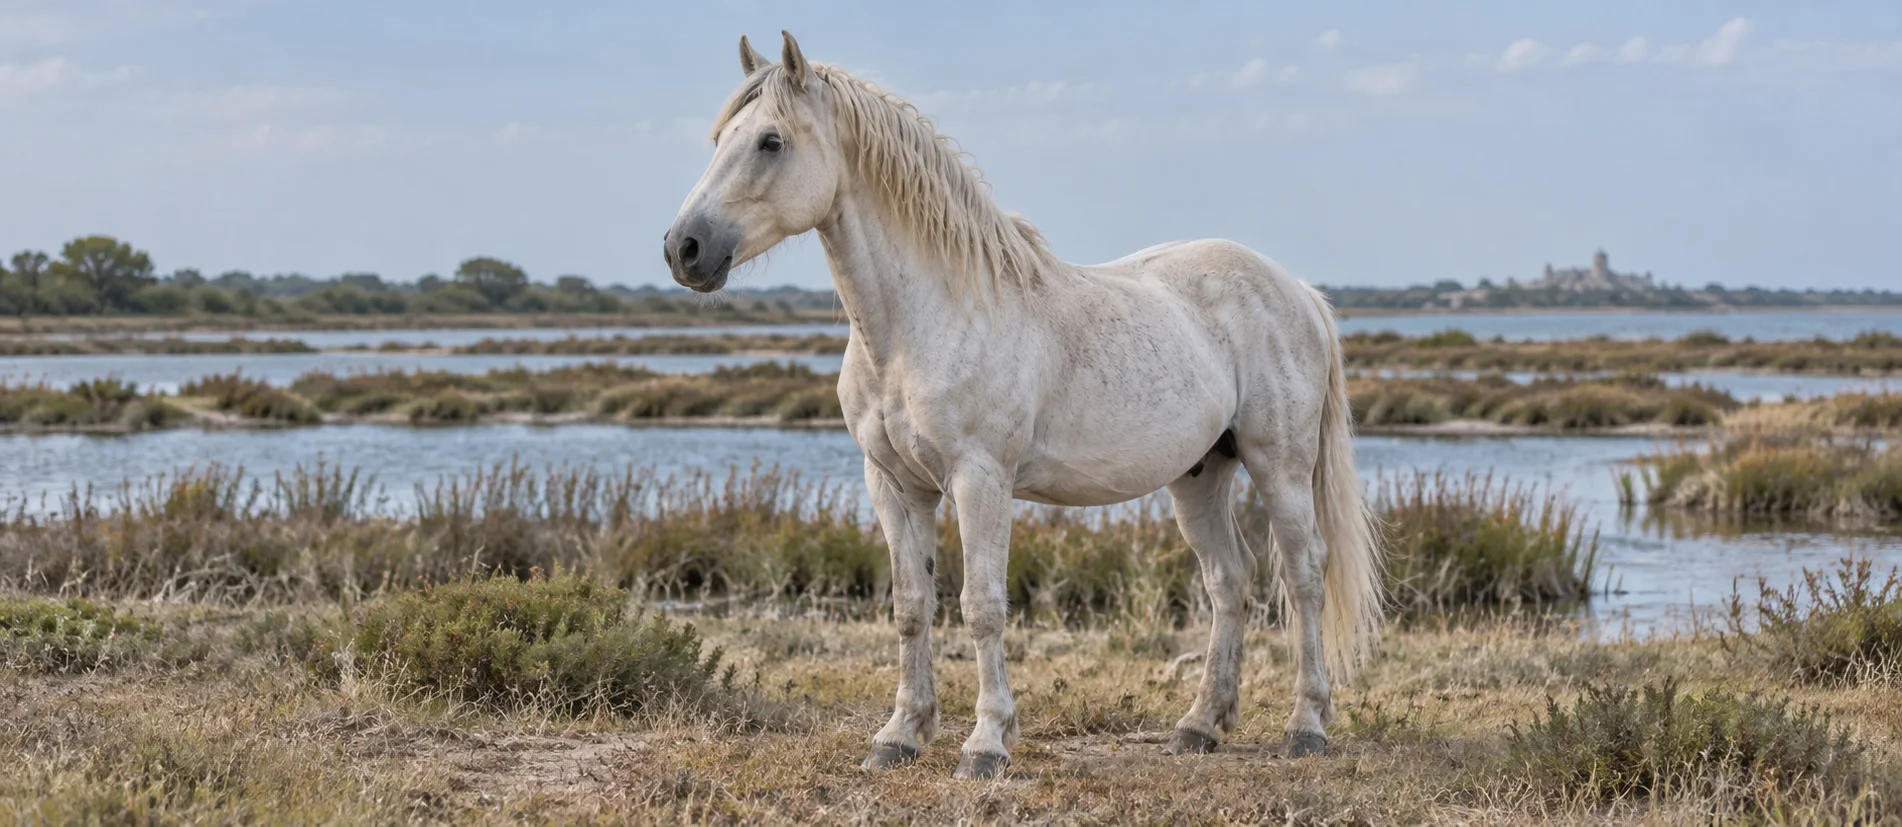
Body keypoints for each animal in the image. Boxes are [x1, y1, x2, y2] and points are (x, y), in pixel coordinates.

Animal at [664, 31, 1383, 780]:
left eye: (770, 141)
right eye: (720, 138)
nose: (683, 249)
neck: (921, 323)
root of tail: (1297, 289)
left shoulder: (980, 479)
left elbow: (981, 606)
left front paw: (985, 743)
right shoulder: (894, 484)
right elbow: (911, 606)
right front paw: (899, 734)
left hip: (1279, 465)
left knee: (1303, 576)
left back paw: (1306, 726)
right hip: (1201, 475)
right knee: (1229, 581)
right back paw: (1199, 725)